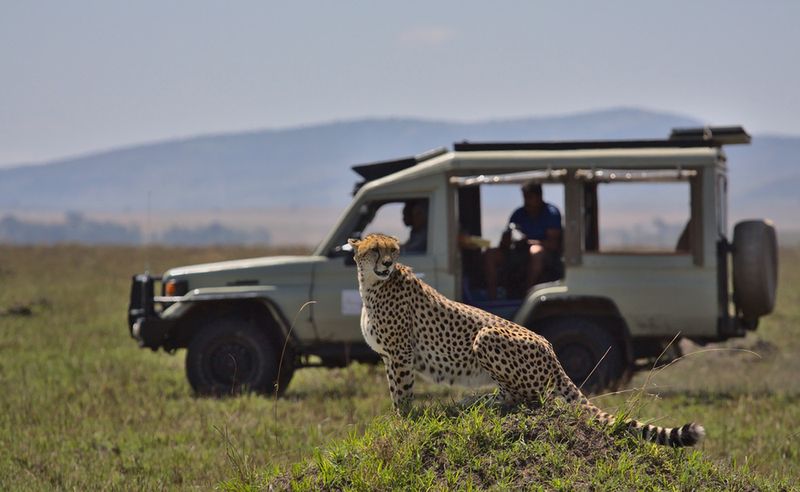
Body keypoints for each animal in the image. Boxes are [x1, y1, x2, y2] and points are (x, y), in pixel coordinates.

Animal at [350, 233, 708, 448]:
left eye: (393, 250)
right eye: (375, 250)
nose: (387, 263)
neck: (371, 286)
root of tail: (551, 350)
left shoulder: (400, 354)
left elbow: (401, 394)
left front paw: (401, 421)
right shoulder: (389, 356)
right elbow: (396, 390)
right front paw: (399, 420)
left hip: (486, 336)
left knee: (530, 400)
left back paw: (479, 403)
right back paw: (475, 402)